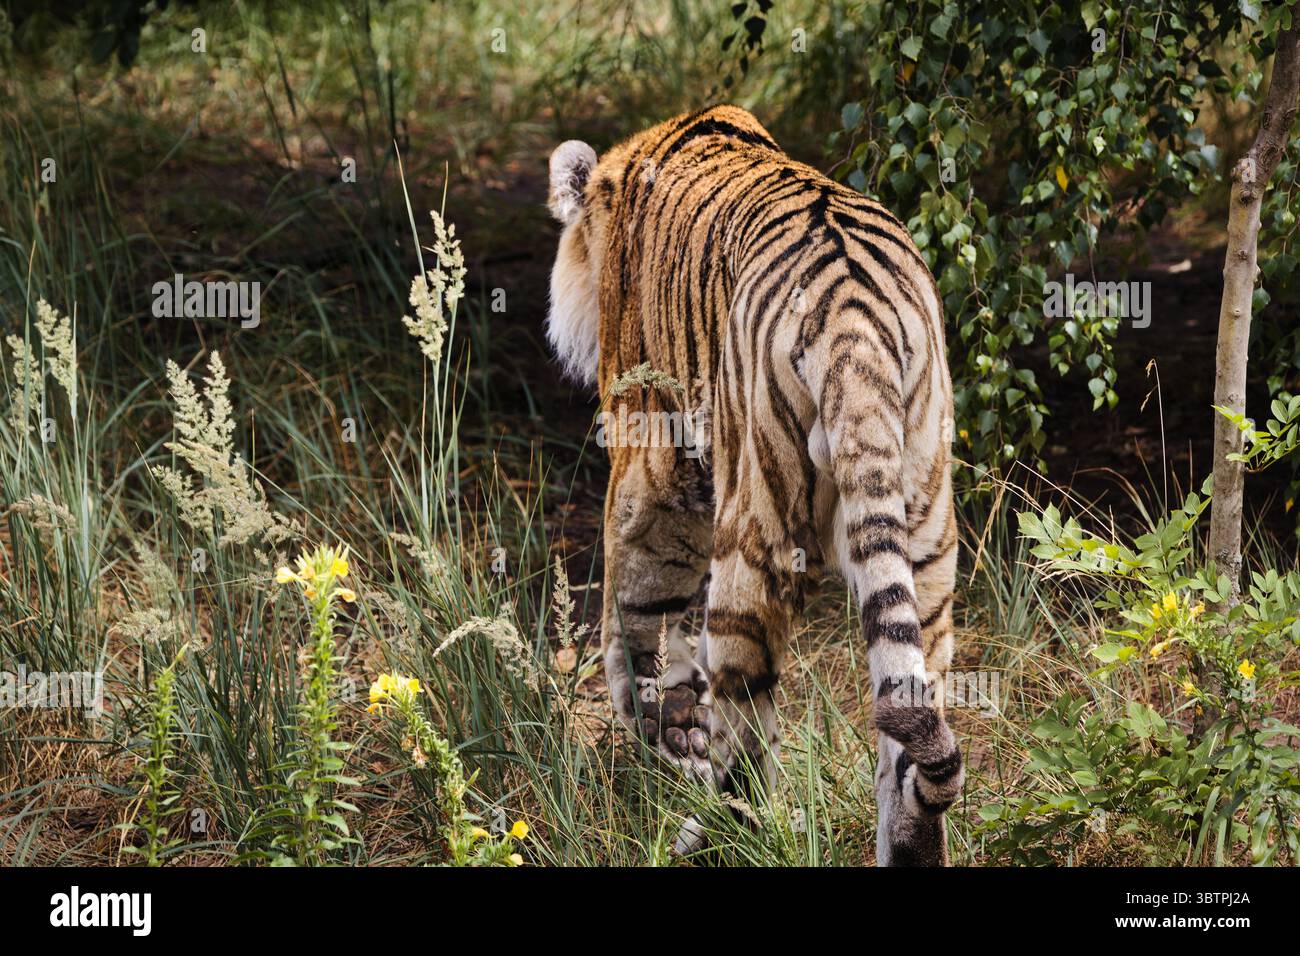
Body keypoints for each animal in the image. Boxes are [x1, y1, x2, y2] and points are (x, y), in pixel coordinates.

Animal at [545, 105, 963, 865]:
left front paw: (663, 720)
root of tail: (854, 323)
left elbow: (631, 605)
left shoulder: (653, 465)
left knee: (745, 708)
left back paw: (717, 831)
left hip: (754, 522)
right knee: (910, 710)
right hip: (924, 526)